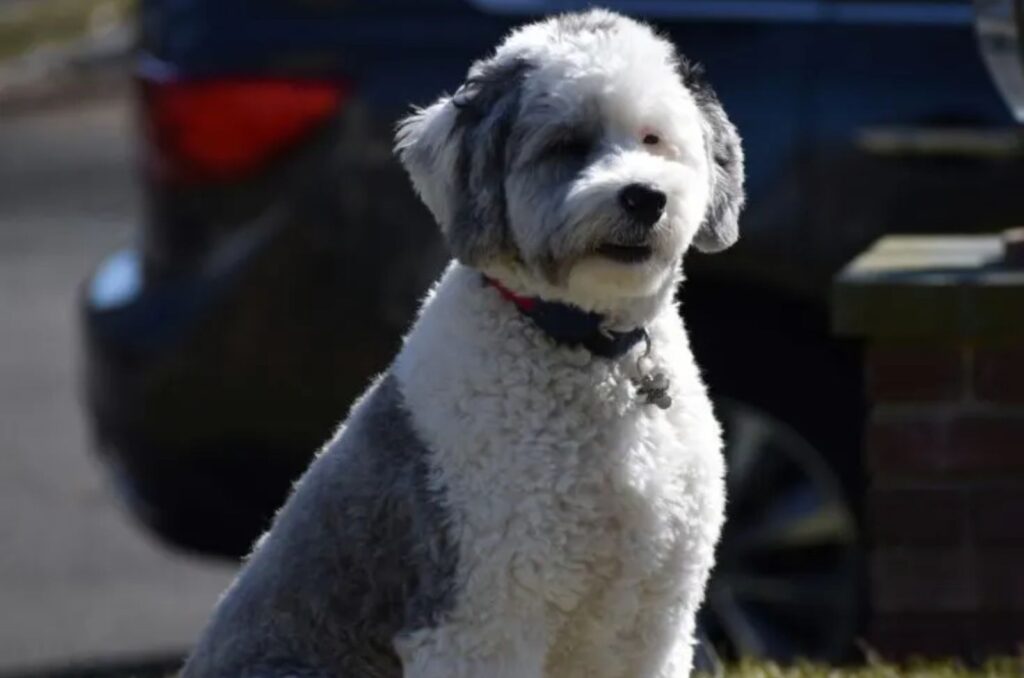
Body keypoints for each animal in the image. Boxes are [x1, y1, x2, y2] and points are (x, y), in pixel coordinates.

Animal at [184, 10, 745, 678]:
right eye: (565, 145)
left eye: (653, 139)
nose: (644, 196)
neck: (587, 346)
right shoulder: (478, 616)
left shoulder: (653, 619)